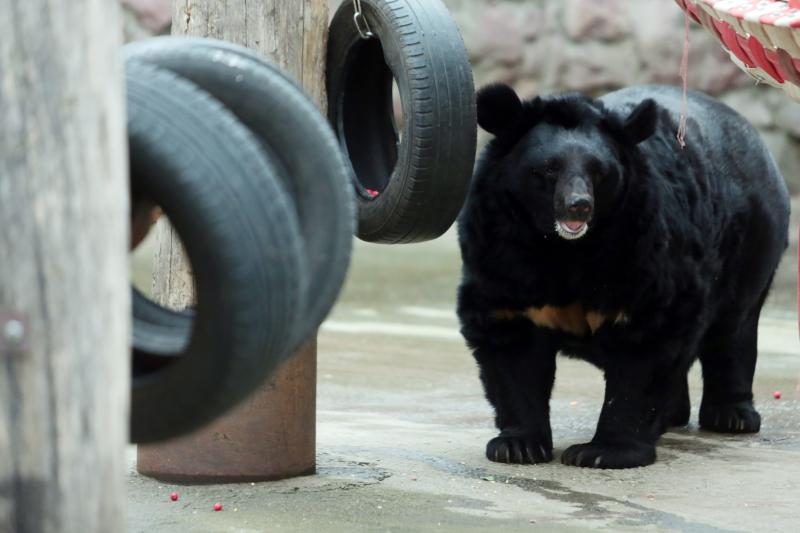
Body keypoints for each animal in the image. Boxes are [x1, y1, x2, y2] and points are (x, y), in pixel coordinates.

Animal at [460, 82, 792, 466]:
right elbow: (511, 343)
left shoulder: (641, 248)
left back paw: (732, 416)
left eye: (599, 171)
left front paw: (602, 452)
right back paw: (674, 415)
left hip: (752, 246)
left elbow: (647, 341)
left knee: (733, 331)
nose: (579, 206)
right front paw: (517, 446)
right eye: (548, 169)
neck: (563, 248)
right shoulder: (500, 250)